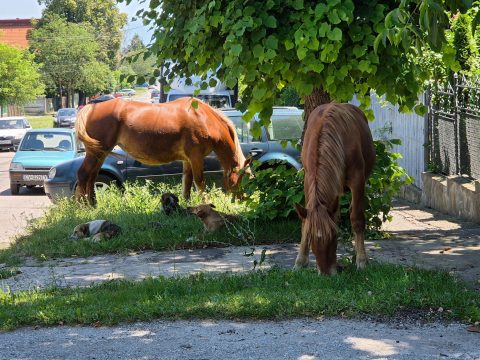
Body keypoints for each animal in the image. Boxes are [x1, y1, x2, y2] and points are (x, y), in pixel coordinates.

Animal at [75, 98, 249, 204]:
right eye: (241, 178)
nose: (242, 198)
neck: (203, 117)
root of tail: (92, 107)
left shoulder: (187, 160)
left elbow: (186, 182)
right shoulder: (196, 157)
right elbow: (200, 181)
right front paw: (206, 203)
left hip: (100, 153)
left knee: (92, 177)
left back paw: (93, 204)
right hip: (96, 152)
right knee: (83, 174)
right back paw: (83, 207)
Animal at [294, 103, 376, 276]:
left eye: (333, 236)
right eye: (311, 238)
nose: (326, 273)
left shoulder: (358, 180)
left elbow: (357, 219)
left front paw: (362, 261)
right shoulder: (308, 179)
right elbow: (305, 221)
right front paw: (300, 261)